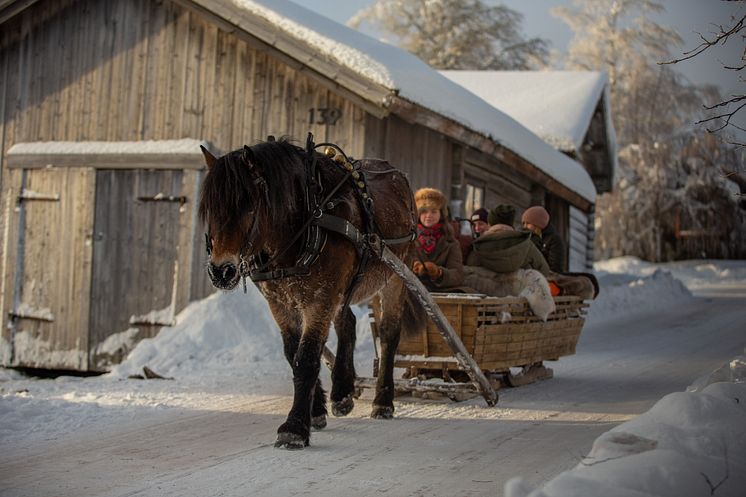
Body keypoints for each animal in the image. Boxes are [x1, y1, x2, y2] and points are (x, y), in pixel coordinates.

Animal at [198, 136, 424, 450]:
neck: (308, 221)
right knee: (347, 324)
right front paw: (316, 410)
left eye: (248, 206)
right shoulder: (281, 302)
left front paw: (294, 427)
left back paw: (383, 401)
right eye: (209, 208)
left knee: (389, 334)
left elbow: (306, 358)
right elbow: (293, 352)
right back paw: (342, 392)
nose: (221, 271)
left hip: (395, 277)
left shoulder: (320, 298)